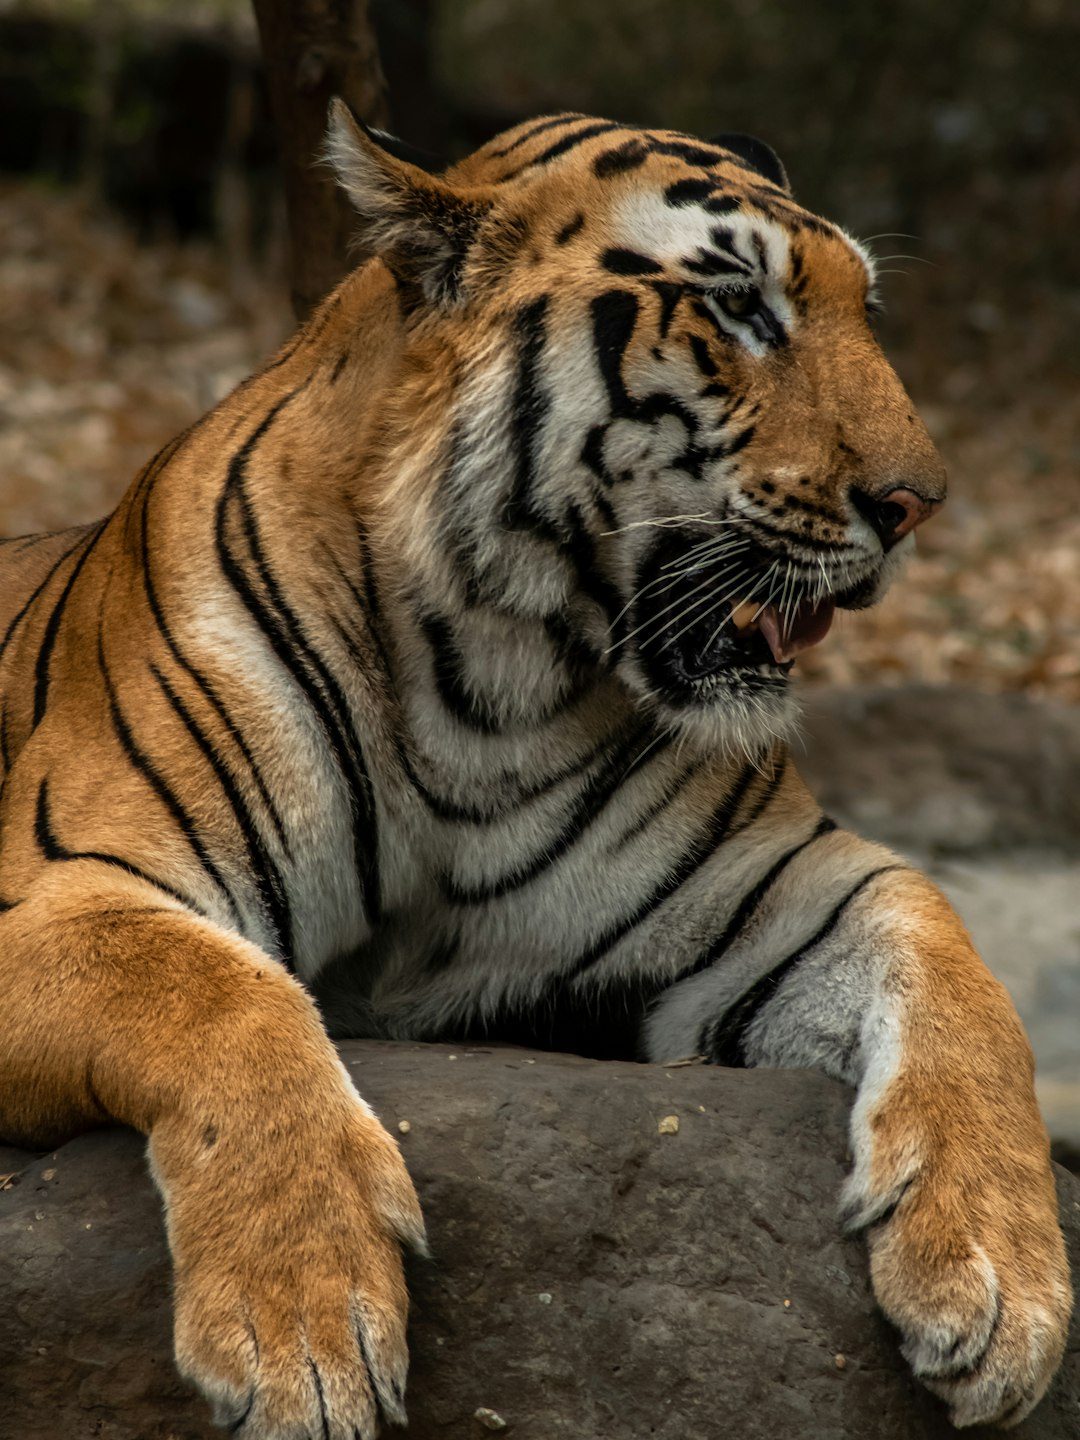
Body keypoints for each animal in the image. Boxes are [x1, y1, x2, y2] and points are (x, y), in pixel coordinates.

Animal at [0, 103, 1071, 1439]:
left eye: (862, 310)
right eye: (743, 309)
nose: (918, 504)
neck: (488, 686)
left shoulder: (779, 892)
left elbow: (959, 974)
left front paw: (1003, 1279)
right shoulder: (68, 887)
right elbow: (227, 999)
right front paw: (302, 1329)